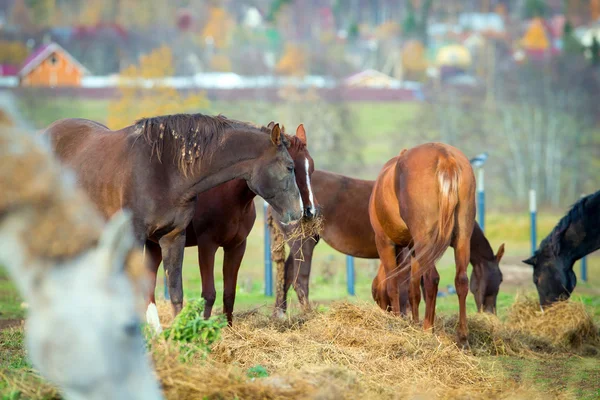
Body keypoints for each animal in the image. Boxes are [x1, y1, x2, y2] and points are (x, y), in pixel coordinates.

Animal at [45, 112, 304, 316]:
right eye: (290, 167)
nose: (299, 211)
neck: (164, 170)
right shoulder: (134, 238)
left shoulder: (172, 237)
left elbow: (176, 292)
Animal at [274, 172, 504, 316]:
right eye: (500, 280)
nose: (490, 313)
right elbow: (405, 285)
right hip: (303, 242)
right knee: (300, 281)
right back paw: (307, 314)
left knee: (286, 276)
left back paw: (280, 315)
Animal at [368, 144, 476, 346]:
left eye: (376, 296)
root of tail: (444, 157)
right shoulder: (414, 250)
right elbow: (413, 289)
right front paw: (414, 323)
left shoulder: (384, 242)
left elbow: (393, 284)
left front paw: (399, 322)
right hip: (462, 239)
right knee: (461, 280)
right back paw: (462, 336)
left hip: (425, 242)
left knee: (432, 279)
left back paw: (427, 329)